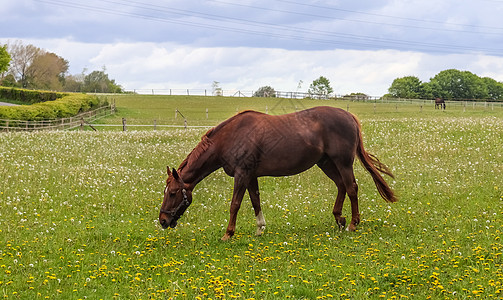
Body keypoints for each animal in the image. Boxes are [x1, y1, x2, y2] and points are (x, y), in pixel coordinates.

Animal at [160, 106, 398, 240]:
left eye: (172, 193)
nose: (162, 221)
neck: (229, 138)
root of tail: (349, 117)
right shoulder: (251, 176)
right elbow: (255, 201)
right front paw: (260, 228)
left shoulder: (242, 174)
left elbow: (235, 204)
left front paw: (228, 234)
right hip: (326, 163)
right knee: (341, 186)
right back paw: (339, 218)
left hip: (343, 163)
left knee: (351, 187)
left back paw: (352, 224)